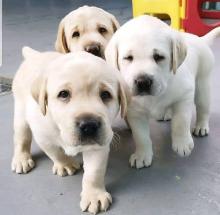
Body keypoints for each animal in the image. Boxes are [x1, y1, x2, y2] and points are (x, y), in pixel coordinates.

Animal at [11, 47, 129, 214]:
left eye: (106, 94)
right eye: (64, 94)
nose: (89, 125)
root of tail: (35, 55)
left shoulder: (99, 146)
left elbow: (94, 172)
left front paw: (94, 195)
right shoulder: (43, 136)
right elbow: (55, 153)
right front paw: (65, 164)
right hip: (21, 113)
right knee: (22, 137)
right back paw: (21, 159)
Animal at [105, 15, 220, 169]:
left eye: (158, 57)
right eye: (128, 58)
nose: (143, 81)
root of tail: (199, 39)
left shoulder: (184, 96)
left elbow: (181, 122)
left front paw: (182, 144)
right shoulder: (135, 113)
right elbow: (141, 136)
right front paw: (142, 155)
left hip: (203, 85)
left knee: (203, 108)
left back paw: (201, 126)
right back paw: (166, 114)